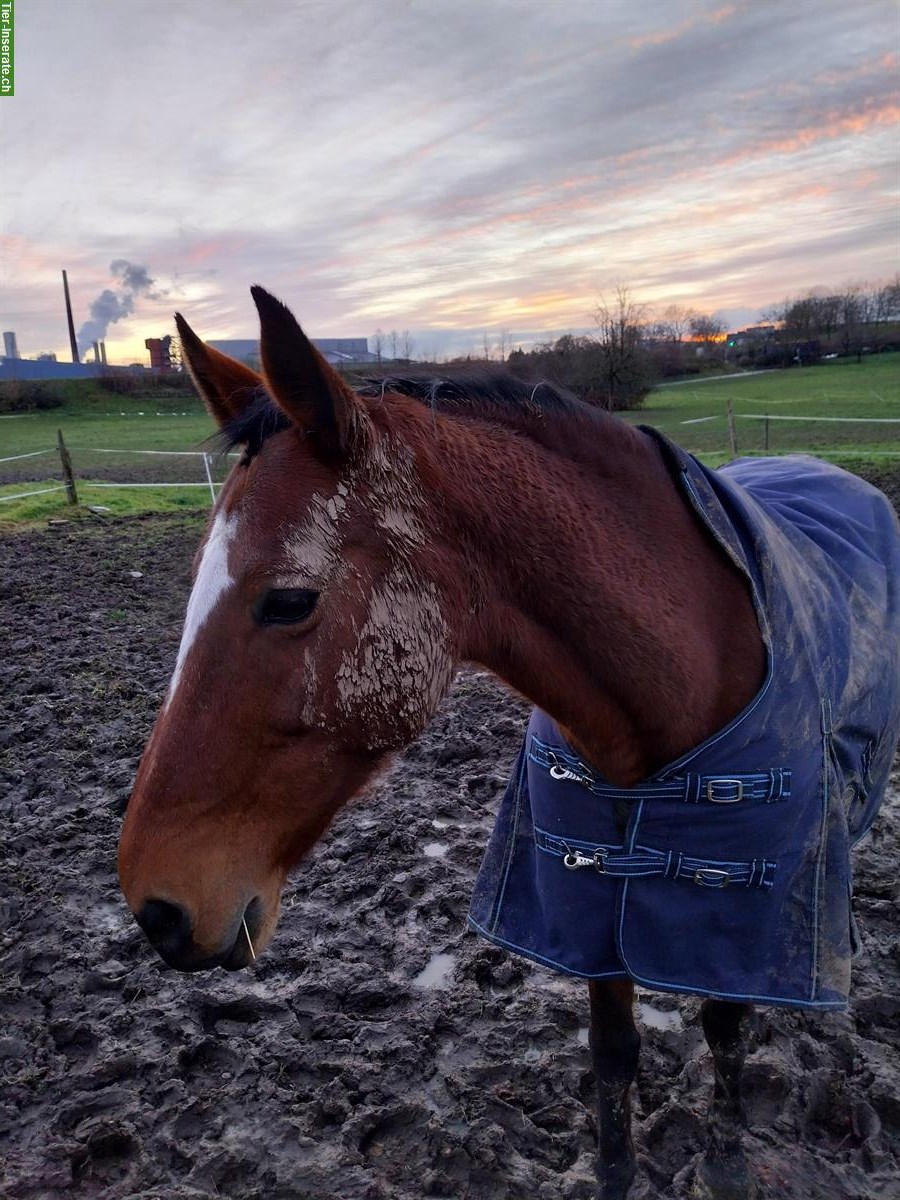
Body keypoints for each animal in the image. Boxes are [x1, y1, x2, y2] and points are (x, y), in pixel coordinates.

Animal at [118, 290, 900, 1200]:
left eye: (287, 601)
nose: (156, 908)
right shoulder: (591, 914)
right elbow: (613, 1056)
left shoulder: (735, 920)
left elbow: (726, 1029)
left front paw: (731, 1160)